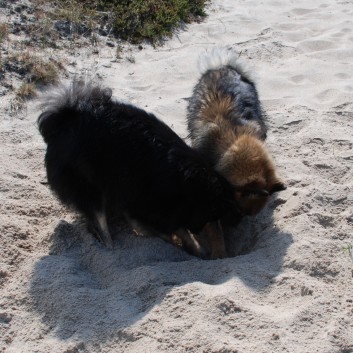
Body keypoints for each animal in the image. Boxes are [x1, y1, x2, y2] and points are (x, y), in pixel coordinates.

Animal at [37, 81, 236, 258]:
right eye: (210, 214)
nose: (199, 229)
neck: (185, 184)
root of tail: (62, 119)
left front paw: (194, 247)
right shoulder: (145, 199)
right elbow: (164, 226)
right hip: (88, 183)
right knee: (98, 216)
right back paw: (110, 245)